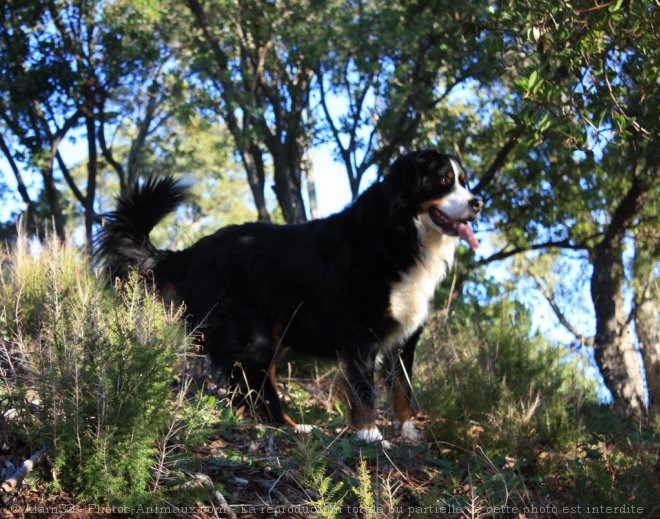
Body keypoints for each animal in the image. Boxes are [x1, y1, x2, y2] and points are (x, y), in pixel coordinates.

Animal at [95, 150, 482, 446]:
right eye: (444, 180)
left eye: (463, 180)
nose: (477, 202)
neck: (400, 233)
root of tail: (194, 251)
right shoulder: (359, 334)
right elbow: (364, 391)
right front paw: (370, 435)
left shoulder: (405, 338)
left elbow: (402, 388)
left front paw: (409, 429)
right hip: (253, 335)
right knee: (254, 384)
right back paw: (289, 427)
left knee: (252, 387)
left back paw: (289, 426)